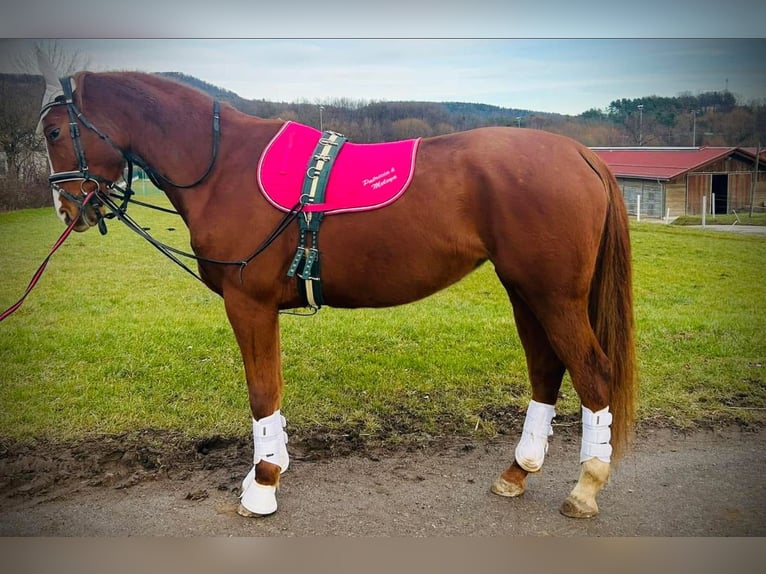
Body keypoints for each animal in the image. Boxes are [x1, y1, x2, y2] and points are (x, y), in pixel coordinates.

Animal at [36, 55, 636, 520]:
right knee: (547, 369)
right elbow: (273, 390)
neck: (222, 165)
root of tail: (579, 152)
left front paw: (262, 485)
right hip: (525, 291)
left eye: (54, 131)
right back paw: (517, 471)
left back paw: (586, 485)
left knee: (592, 371)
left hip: (553, 296)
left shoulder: (248, 304)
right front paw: (272, 468)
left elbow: (261, 392)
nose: (66, 208)